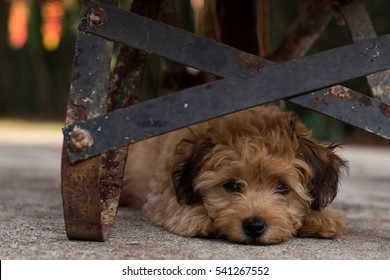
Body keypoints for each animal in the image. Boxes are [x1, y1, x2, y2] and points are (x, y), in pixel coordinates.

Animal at [122, 105, 348, 245]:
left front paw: (321, 218)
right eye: (231, 185)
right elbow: (171, 203)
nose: (254, 226)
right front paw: (196, 216)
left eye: (283, 187)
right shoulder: (161, 191)